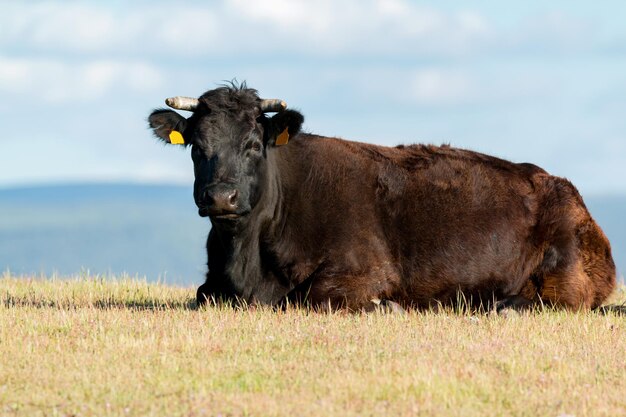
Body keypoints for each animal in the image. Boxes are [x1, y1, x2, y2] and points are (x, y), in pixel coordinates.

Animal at [147, 83, 616, 310]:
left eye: (253, 144)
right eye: (196, 146)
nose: (220, 197)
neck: (249, 261)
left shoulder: (364, 270)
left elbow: (313, 297)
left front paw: (386, 307)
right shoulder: (214, 284)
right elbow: (203, 294)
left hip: (568, 269)